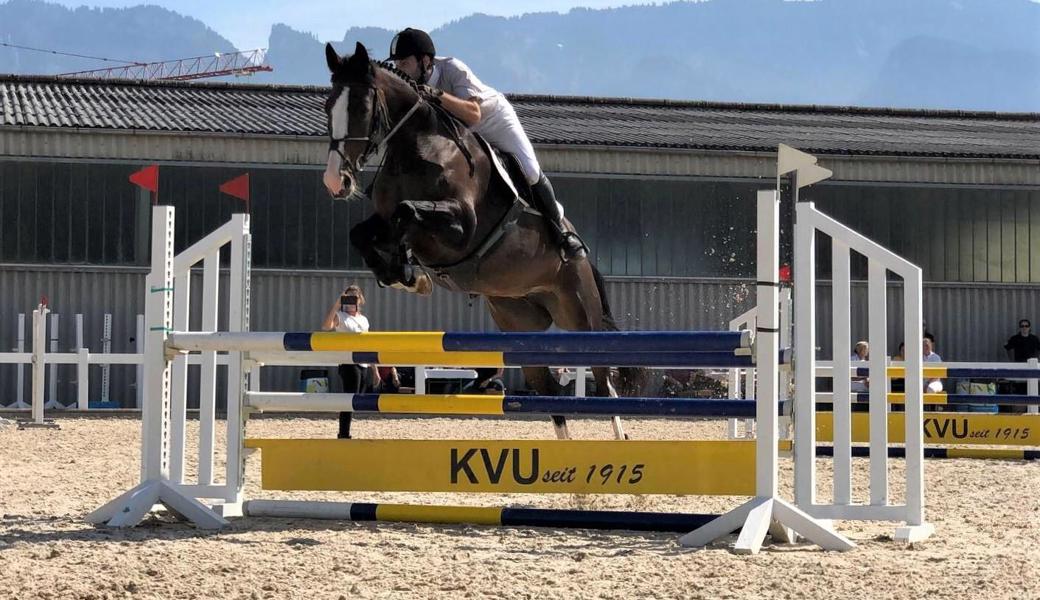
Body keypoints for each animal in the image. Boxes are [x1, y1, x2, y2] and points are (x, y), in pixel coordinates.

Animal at [320, 41, 644, 434]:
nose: (335, 182)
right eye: (328, 106)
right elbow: (364, 232)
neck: (416, 147)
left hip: (580, 315)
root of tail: (584, 257)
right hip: (518, 322)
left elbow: (407, 213)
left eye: (361, 107)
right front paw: (403, 273)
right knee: (550, 393)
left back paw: (620, 435)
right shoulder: (385, 219)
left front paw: (408, 271)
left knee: (605, 380)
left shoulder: (463, 228)